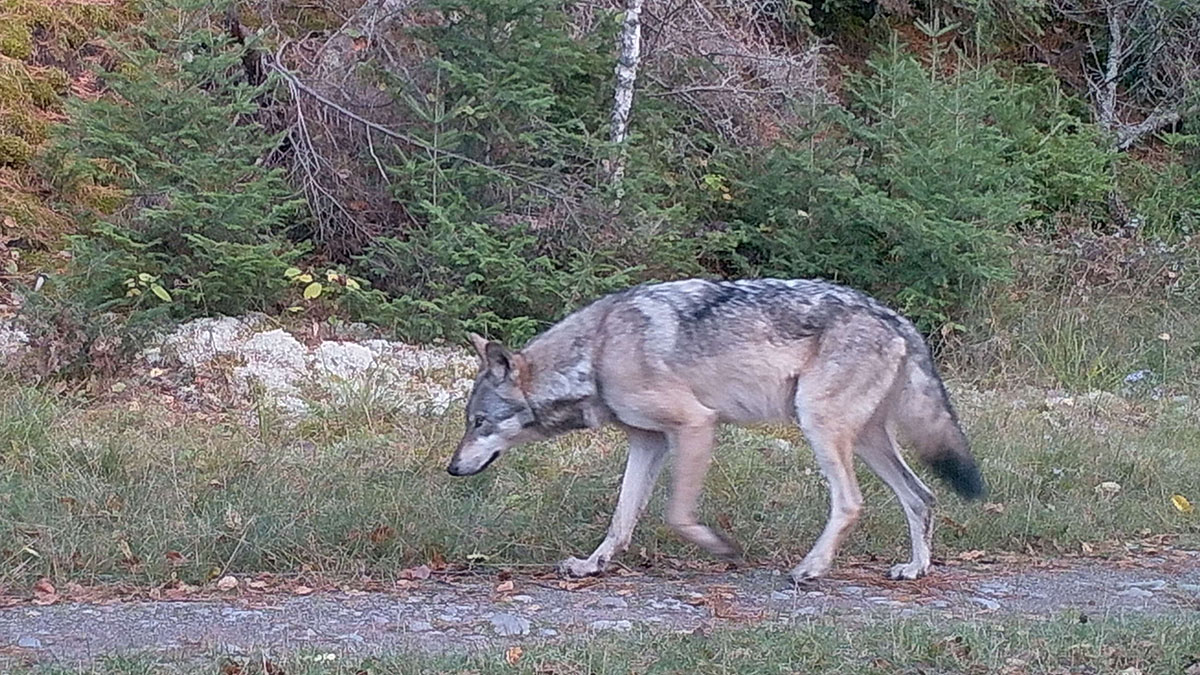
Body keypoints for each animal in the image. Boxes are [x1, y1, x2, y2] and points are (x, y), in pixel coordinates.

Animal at [446, 276, 979, 581]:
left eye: (479, 422)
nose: (451, 468)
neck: (595, 355)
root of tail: (897, 319)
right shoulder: (648, 443)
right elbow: (621, 518)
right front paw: (592, 565)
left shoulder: (696, 425)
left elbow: (677, 515)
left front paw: (723, 548)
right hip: (867, 441)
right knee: (922, 496)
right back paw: (915, 569)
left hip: (820, 427)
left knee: (851, 501)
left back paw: (810, 570)